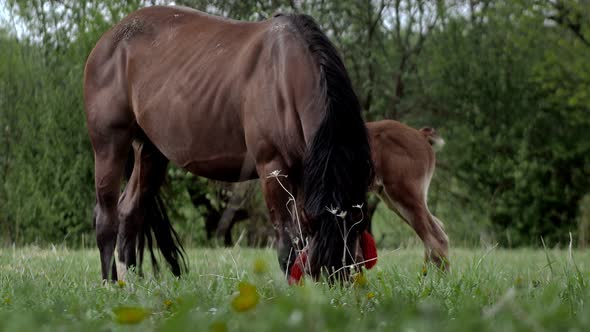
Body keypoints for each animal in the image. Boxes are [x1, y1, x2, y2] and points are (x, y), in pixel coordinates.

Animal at [83, 6, 372, 282]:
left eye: (352, 260)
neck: (286, 75)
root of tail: (109, 41)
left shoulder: (304, 173)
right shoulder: (272, 168)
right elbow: (288, 245)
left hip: (150, 153)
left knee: (129, 213)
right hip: (109, 145)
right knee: (105, 218)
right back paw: (110, 284)